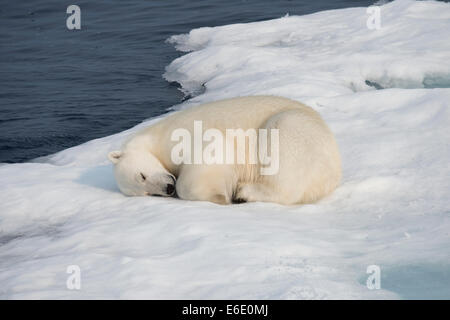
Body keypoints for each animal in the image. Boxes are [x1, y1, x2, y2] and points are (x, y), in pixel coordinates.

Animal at [108, 95, 342, 205]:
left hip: (295, 129)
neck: (156, 137)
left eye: (142, 175)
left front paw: (221, 196)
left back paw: (244, 192)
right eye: (148, 193)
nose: (168, 188)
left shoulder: (187, 135)